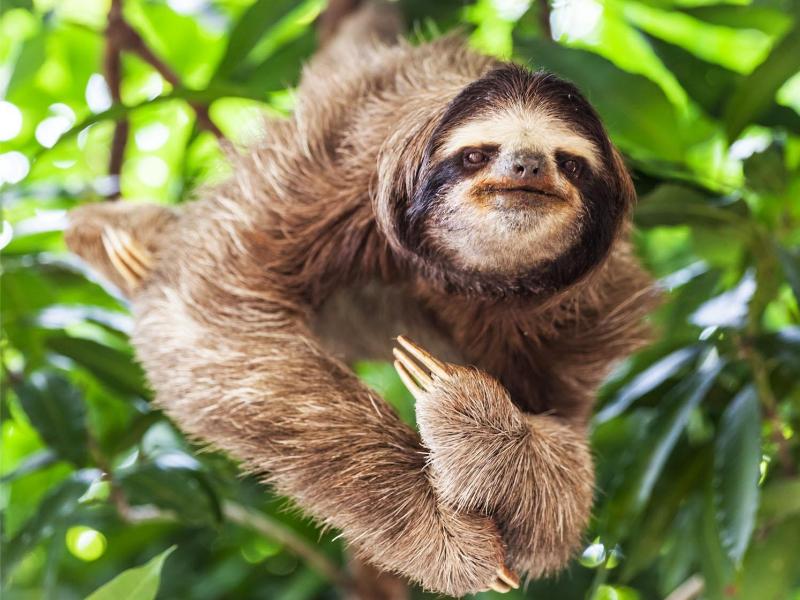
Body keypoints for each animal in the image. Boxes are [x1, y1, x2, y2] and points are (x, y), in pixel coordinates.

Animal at [64, 2, 658, 596]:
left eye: (570, 163)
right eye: (475, 155)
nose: (528, 166)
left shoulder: (584, 318)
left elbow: (560, 495)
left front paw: (483, 431)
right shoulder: (323, 176)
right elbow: (211, 319)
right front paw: (443, 534)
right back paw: (125, 243)